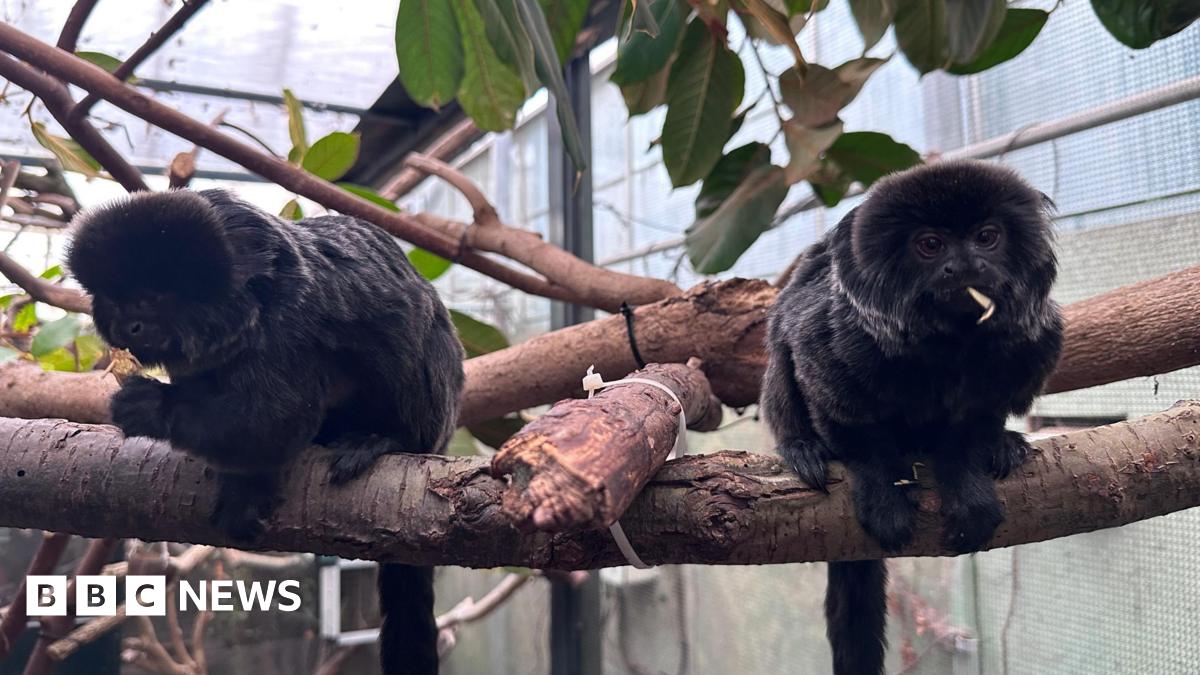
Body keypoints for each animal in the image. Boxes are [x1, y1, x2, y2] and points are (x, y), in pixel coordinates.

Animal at [66, 189, 464, 675]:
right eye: (114, 301)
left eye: (148, 300)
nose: (129, 327)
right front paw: (246, 491)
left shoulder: (290, 321)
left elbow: (275, 420)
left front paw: (151, 406)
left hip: (434, 402)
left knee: (410, 343)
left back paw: (384, 440)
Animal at [760, 160, 1062, 675]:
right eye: (930, 245)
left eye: (986, 237)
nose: (964, 266)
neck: (950, 343)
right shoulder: (832, 342)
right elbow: (846, 420)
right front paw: (883, 496)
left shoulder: (1027, 342)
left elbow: (971, 431)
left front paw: (969, 484)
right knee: (781, 342)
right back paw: (801, 448)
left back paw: (1006, 445)